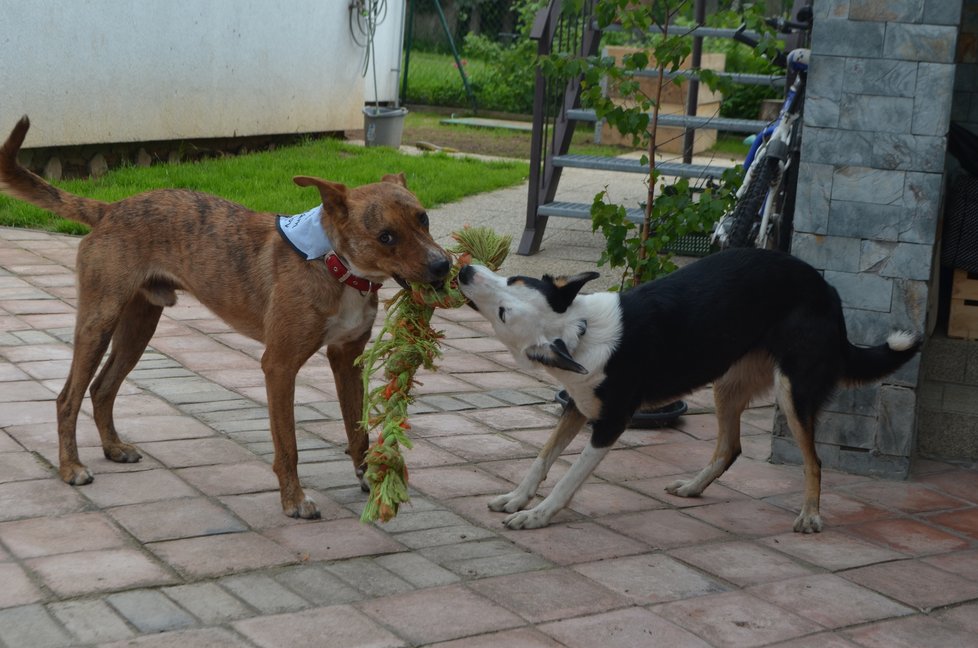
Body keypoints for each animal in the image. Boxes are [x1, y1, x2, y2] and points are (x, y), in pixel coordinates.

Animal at [0, 116, 450, 520]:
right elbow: (288, 445)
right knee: (67, 398)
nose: (444, 266)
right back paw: (70, 468)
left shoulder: (346, 360)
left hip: (138, 327)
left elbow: (358, 432)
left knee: (102, 388)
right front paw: (293, 501)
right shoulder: (279, 366)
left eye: (424, 218)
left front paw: (371, 481)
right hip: (99, 322)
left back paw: (113, 448)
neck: (334, 264)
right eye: (386, 237)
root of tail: (109, 209)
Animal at [458, 247, 916, 532]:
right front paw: (517, 498)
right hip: (726, 385)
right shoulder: (577, 406)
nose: (463, 270)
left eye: (504, 307)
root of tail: (828, 290)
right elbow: (542, 458)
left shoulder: (610, 425)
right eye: (511, 279)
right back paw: (694, 487)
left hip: (793, 392)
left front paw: (538, 515)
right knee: (730, 448)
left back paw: (810, 516)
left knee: (814, 461)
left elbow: (569, 476)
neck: (579, 332)